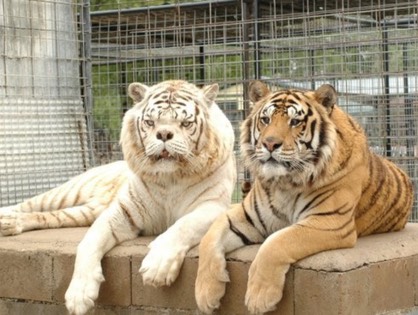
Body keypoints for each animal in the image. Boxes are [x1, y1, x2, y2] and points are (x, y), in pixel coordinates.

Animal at [194, 81, 414, 314]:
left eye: (295, 122)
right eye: (266, 119)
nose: (270, 144)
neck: (284, 182)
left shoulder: (329, 221)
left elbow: (277, 241)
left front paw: (260, 297)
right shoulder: (245, 215)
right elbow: (209, 238)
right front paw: (205, 295)